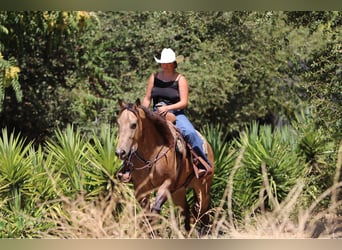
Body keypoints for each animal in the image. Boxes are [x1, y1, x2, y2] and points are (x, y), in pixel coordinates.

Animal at [115, 98, 214, 235]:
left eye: (134, 124)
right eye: (119, 124)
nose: (120, 152)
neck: (151, 154)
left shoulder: (167, 183)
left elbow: (155, 210)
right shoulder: (141, 189)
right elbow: (146, 214)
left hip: (202, 188)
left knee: (203, 214)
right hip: (179, 191)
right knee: (186, 211)